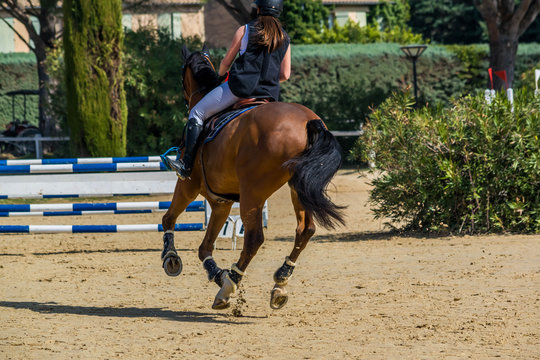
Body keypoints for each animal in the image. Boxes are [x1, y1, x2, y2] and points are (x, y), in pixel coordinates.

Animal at [161, 44, 346, 310]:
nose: (186, 101)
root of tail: (309, 121)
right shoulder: (220, 201)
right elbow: (204, 247)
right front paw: (217, 274)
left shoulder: (190, 185)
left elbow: (169, 218)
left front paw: (171, 257)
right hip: (297, 188)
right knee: (305, 230)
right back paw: (279, 283)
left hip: (253, 193)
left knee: (254, 239)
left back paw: (229, 286)